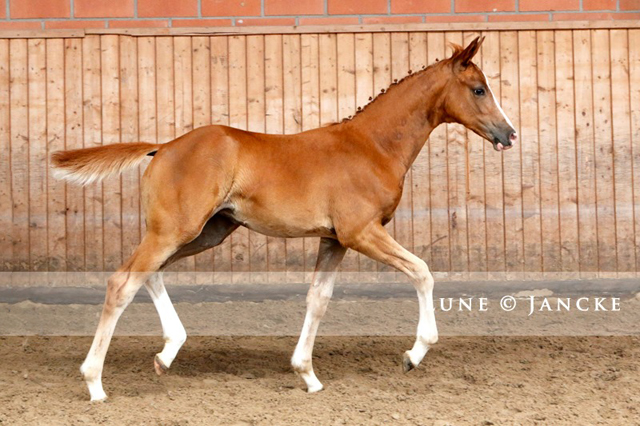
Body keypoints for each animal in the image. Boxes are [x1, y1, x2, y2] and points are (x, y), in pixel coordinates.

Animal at [52, 35, 516, 400]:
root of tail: (163, 147)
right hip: (175, 230)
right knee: (122, 282)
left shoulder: (334, 239)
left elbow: (318, 300)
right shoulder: (361, 232)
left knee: (150, 273)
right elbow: (422, 272)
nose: (509, 134)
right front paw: (413, 355)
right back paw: (95, 383)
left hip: (206, 232)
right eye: (478, 89)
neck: (372, 145)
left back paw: (167, 354)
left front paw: (307, 374)